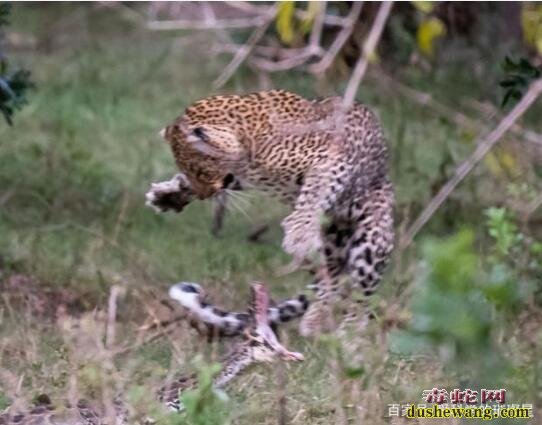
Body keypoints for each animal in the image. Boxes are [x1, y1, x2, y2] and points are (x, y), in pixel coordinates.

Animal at [148, 88, 396, 334]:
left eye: (200, 171)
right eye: (189, 171)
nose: (203, 196)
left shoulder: (332, 160)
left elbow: (315, 191)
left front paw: (299, 233)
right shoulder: (241, 175)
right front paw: (168, 195)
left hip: (372, 240)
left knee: (361, 297)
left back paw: (346, 331)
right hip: (331, 245)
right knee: (329, 279)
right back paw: (314, 320)